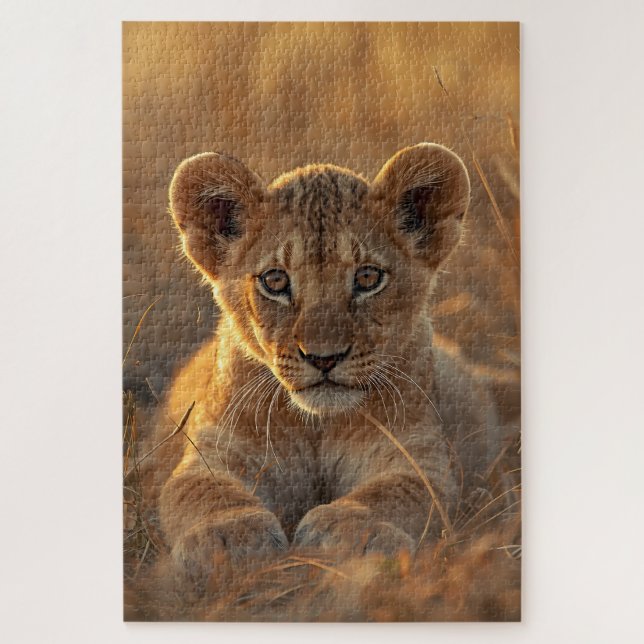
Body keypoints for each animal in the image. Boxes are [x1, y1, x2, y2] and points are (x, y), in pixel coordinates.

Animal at [154, 143, 497, 588]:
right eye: (275, 281)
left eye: (368, 277)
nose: (323, 358)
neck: (318, 426)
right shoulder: (215, 448)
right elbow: (200, 489)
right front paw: (229, 536)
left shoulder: (420, 453)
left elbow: (398, 492)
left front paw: (350, 529)